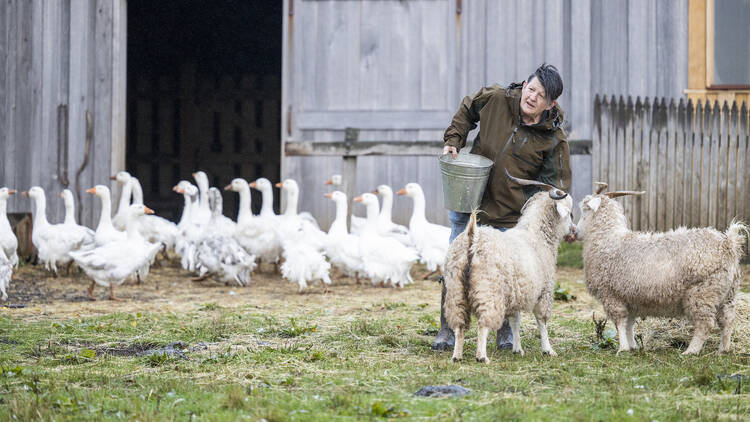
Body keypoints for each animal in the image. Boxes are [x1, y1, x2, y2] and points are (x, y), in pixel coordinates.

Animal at [446, 171, 576, 362]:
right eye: (569, 213)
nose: (573, 230)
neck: (536, 235)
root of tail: (473, 235)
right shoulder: (544, 291)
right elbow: (542, 321)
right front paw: (547, 349)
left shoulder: (516, 293)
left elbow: (515, 321)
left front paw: (517, 349)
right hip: (488, 289)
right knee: (483, 323)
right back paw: (482, 356)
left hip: (456, 289)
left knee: (459, 324)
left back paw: (457, 356)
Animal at [580, 186, 748, 354]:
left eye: (584, 209)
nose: (575, 230)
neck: (606, 240)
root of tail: (729, 243)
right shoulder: (630, 298)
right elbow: (629, 324)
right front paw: (632, 346)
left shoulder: (611, 295)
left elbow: (620, 323)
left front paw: (622, 348)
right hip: (728, 294)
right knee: (727, 321)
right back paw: (723, 349)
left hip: (703, 293)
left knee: (705, 324)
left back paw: (691, 351)